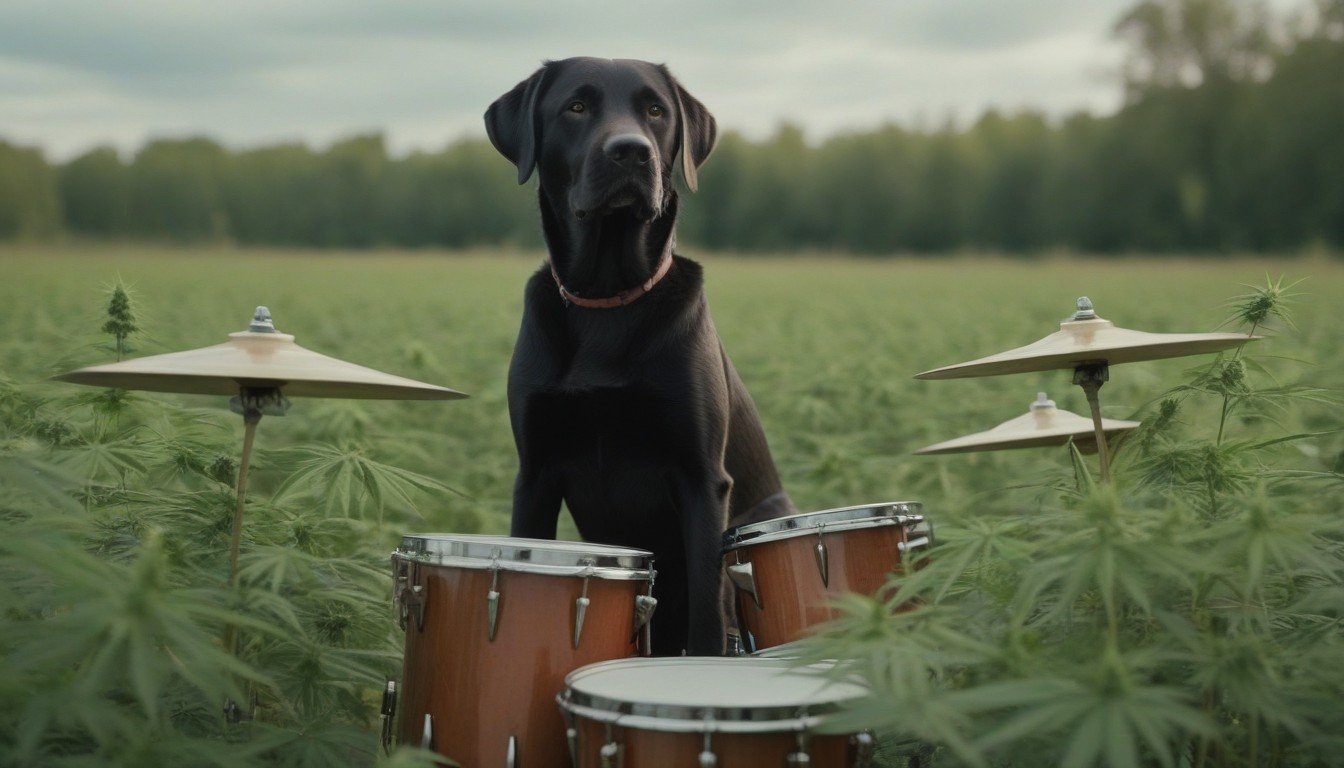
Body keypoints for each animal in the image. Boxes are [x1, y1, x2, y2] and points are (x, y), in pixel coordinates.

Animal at [486, 57, 790, 656]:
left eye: (655, 110)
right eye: (576, 107)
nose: (631, 151)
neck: (608, 298)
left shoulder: (702, 479)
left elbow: (707, 612)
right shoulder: (534, 474)